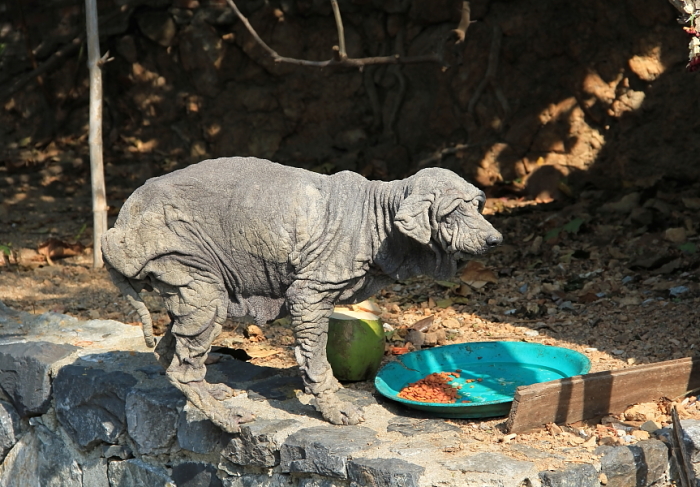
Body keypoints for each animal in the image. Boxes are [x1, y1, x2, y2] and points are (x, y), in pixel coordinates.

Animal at [101, 158, 500, 432]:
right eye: (453, 211)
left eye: (478, 206)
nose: (495, 239)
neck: (378, 220)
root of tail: (117, 229)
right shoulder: (311, 292)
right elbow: (315, 354)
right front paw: (333, 408)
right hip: (184, 257)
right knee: (186, 359)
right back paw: (224, 416)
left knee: (168, 348)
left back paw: (211, 391)